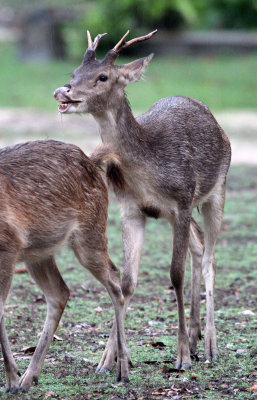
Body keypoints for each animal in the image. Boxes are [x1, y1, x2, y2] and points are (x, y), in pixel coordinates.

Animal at [0, 138, 128, 394]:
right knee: (60, 293)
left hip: (89, 234)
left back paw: (118, 369)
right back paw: (29, 377)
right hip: (38, 252)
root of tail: (92, 160)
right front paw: (14, 380)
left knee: (115, 276)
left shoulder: (8, 246)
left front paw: (10, 381)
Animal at [54, 30, 230, 378]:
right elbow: (126, 282)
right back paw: (195, 335)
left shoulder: (183, 199)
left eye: (103, 76)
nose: (62, 92)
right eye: (74, 73)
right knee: (199, 244)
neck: (149, 168)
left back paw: (208, 345)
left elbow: (174, 275)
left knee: (210, 258)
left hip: (216, 190)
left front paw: (181, 356)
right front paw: (108, 359)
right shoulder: (132, 209)